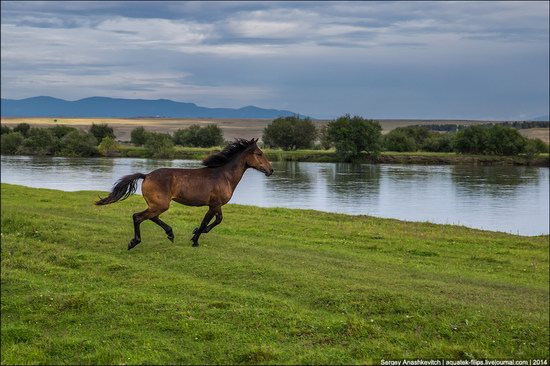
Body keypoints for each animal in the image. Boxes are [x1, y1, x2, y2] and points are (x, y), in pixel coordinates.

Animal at [97, 139, 276, 250]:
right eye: (259, 154)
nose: (271, 170)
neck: (223, 175)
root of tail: (146, 175)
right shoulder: (214, 205)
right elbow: (206, 222)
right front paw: (195, 239)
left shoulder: (216, 205)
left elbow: (218, 220)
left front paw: (195, 233)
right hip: (161, 204)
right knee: (138, 217)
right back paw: (134, 242)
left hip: (157, 205)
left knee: (152, 217)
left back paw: (170, 233)